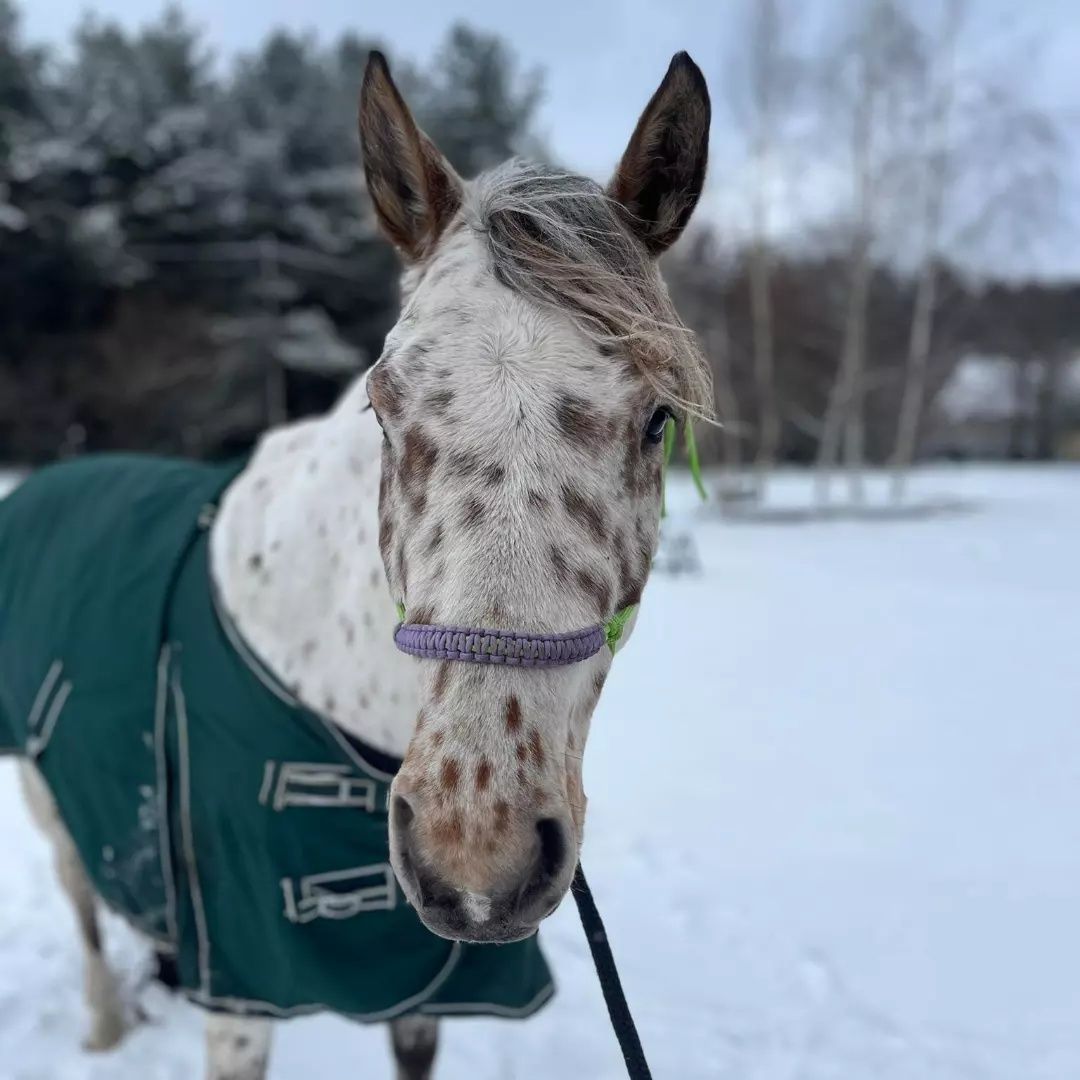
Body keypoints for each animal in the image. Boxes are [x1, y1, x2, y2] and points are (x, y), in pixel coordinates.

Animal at [2, 46, 717, 1075]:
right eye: (384, 407)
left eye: (658, 417)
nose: (475, 851)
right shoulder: (246, 987)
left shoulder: (420, 982)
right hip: (43, 787)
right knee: (84, 908)